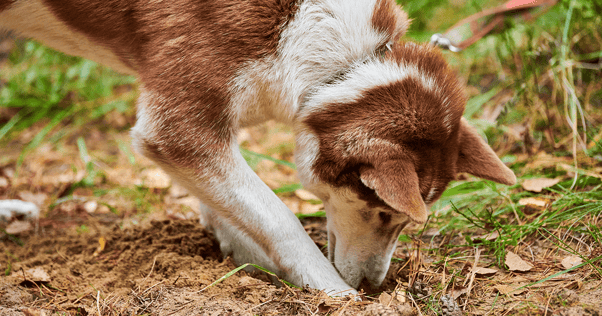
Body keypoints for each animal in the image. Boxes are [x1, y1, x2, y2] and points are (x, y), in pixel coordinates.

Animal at [1, 0, 516, 296]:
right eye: (384, 212)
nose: (374, 287)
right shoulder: (176, 126)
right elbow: (279, 217)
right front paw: (333, 292)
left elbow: (231, 205)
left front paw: (244, 255)